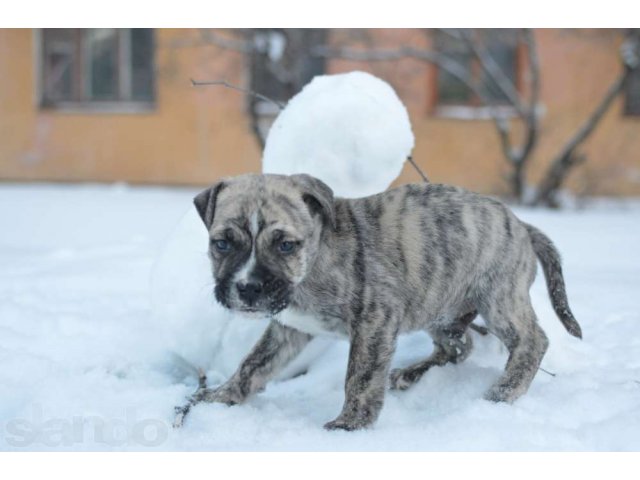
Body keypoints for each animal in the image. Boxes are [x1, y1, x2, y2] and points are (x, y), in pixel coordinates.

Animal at [182, 173, 584, 432]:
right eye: (222, 243)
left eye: (285, 245)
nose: (248, 288)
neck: (316, 258)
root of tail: (522, 225)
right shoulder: (288, 327)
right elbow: (253, 364)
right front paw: (222, 397)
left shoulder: (374, 320)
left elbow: (359, 377)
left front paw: (350, 425)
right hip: (438, 306)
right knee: (459, 347)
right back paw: (411, 374)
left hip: (499, 298)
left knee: (532, 341)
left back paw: (503, 394)